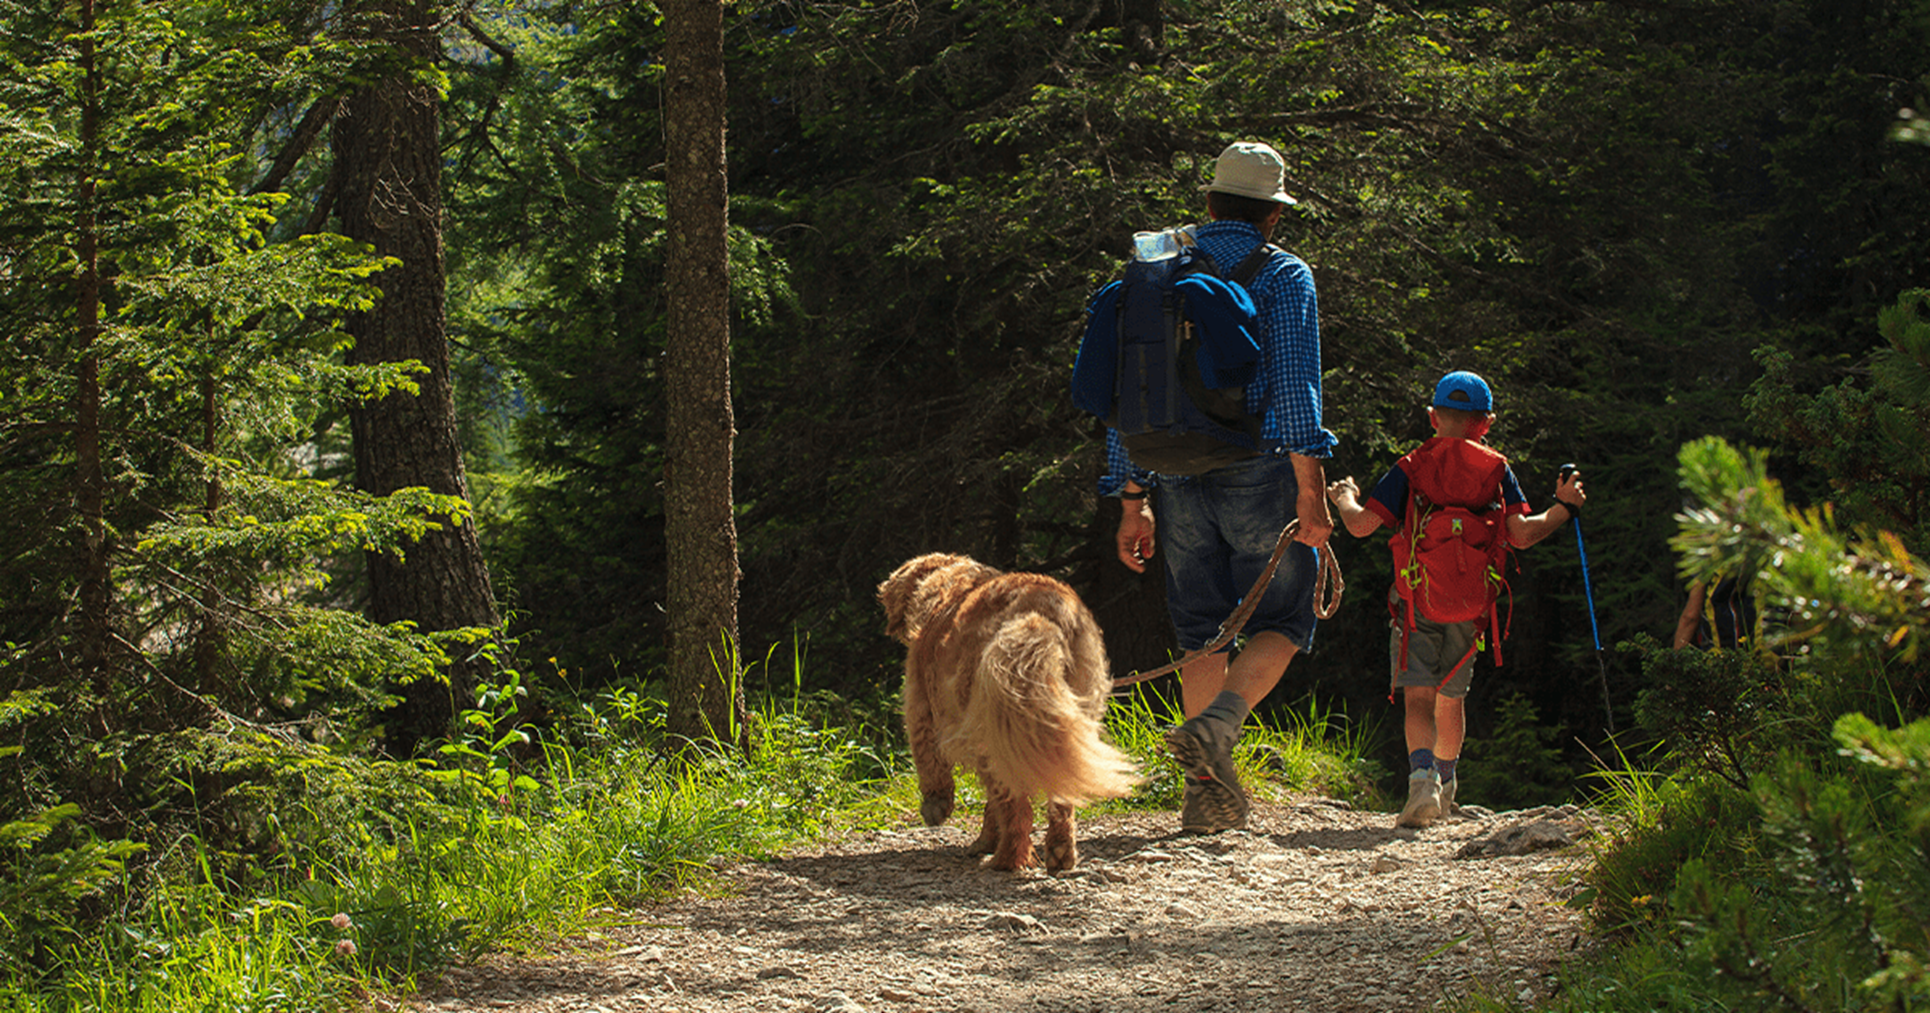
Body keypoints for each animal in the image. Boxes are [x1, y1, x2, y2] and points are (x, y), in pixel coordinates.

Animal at [880, 551, 1134, 868]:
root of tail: (1041, 613)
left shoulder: (920, 705)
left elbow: (929, 761)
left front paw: (935, 806)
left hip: (992, 732)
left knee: (1016, 807)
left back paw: (1006, 858)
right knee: (1058, 800)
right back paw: (1059, 852)